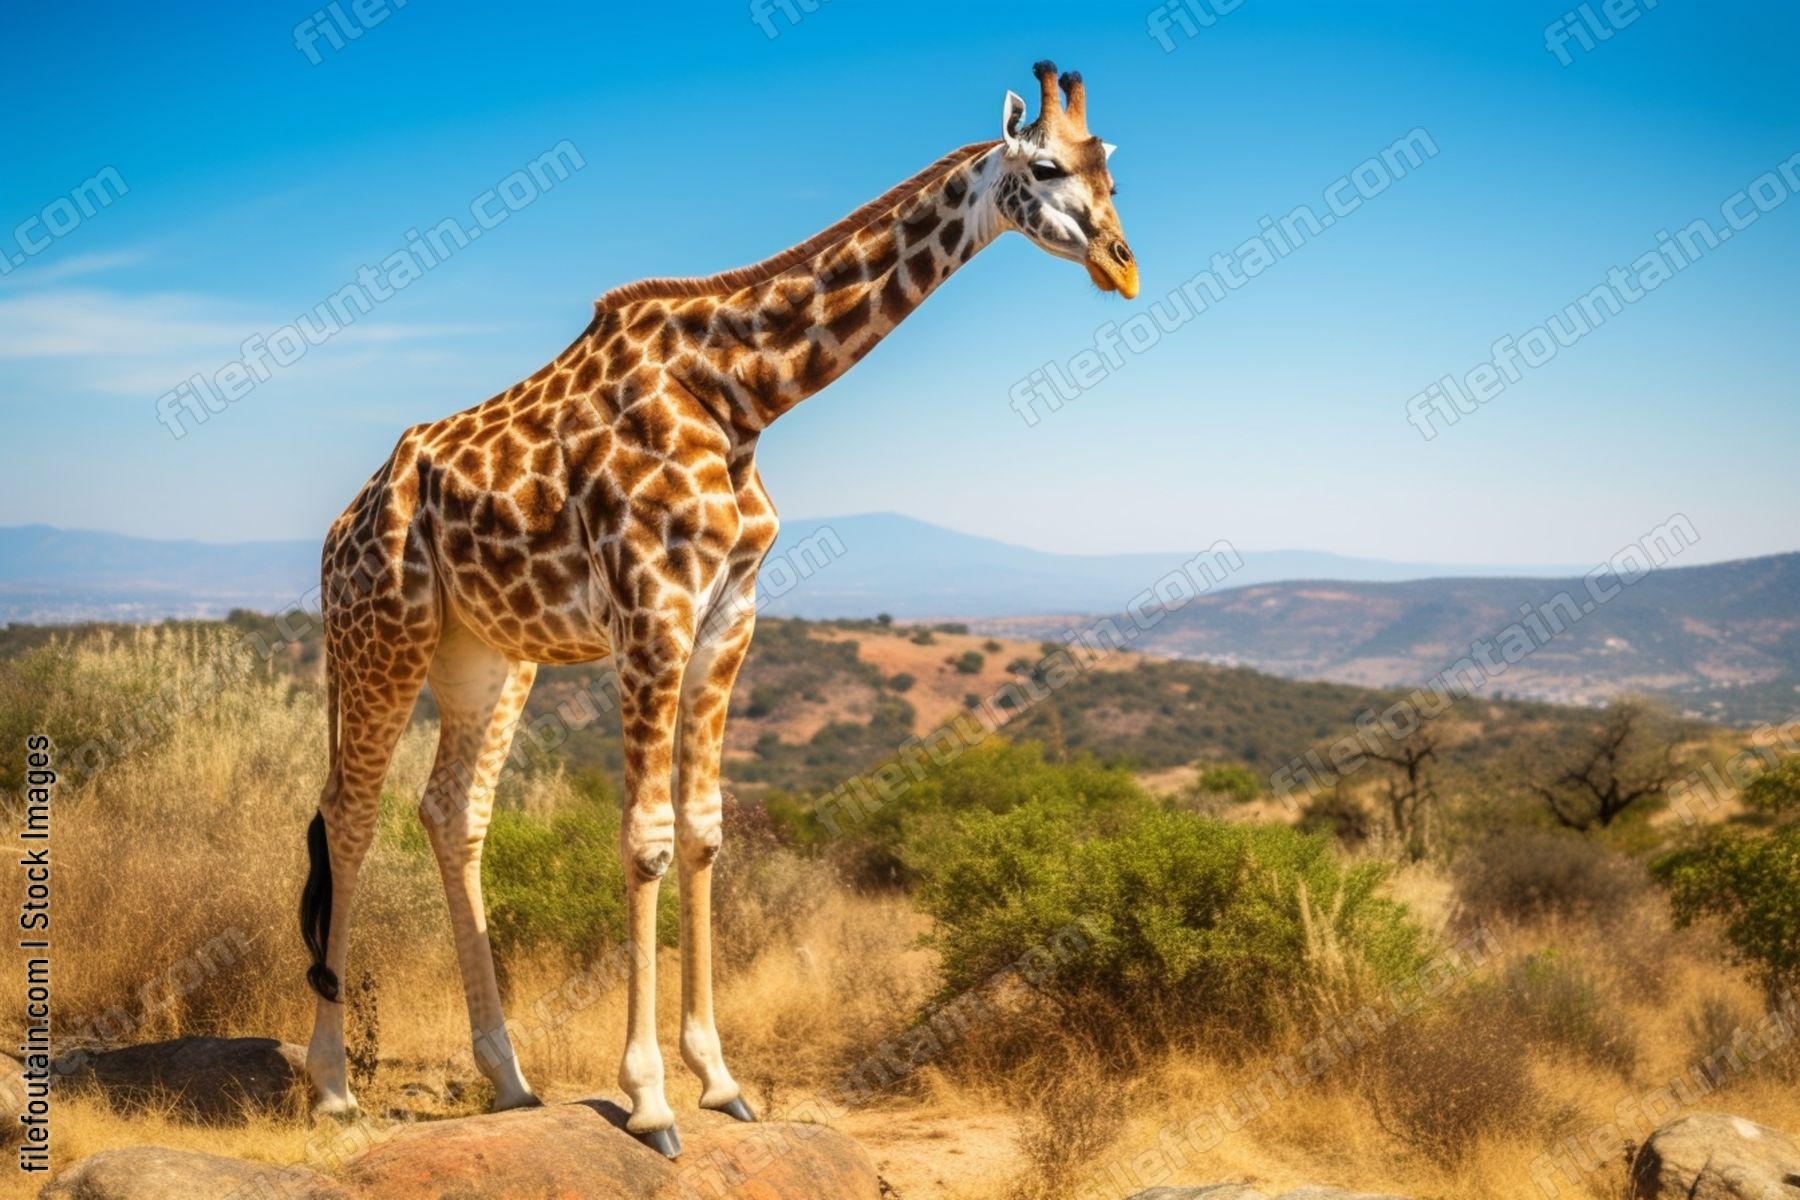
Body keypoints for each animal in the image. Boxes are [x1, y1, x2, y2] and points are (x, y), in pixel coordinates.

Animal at [299, 60, 1136, 1156]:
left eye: (1111, 162)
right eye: (1045, 166)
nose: (1124, 267)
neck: (742, 396)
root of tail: (338, 527)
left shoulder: (728, 617)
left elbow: (702, 831)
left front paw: (722, 1080)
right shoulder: (651, 611)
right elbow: (646, 838)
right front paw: (650, 1102)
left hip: (485, 652)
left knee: (452, 811)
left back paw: (510, 1079)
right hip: (380, 630)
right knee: (347, 813)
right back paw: (331, 1087)